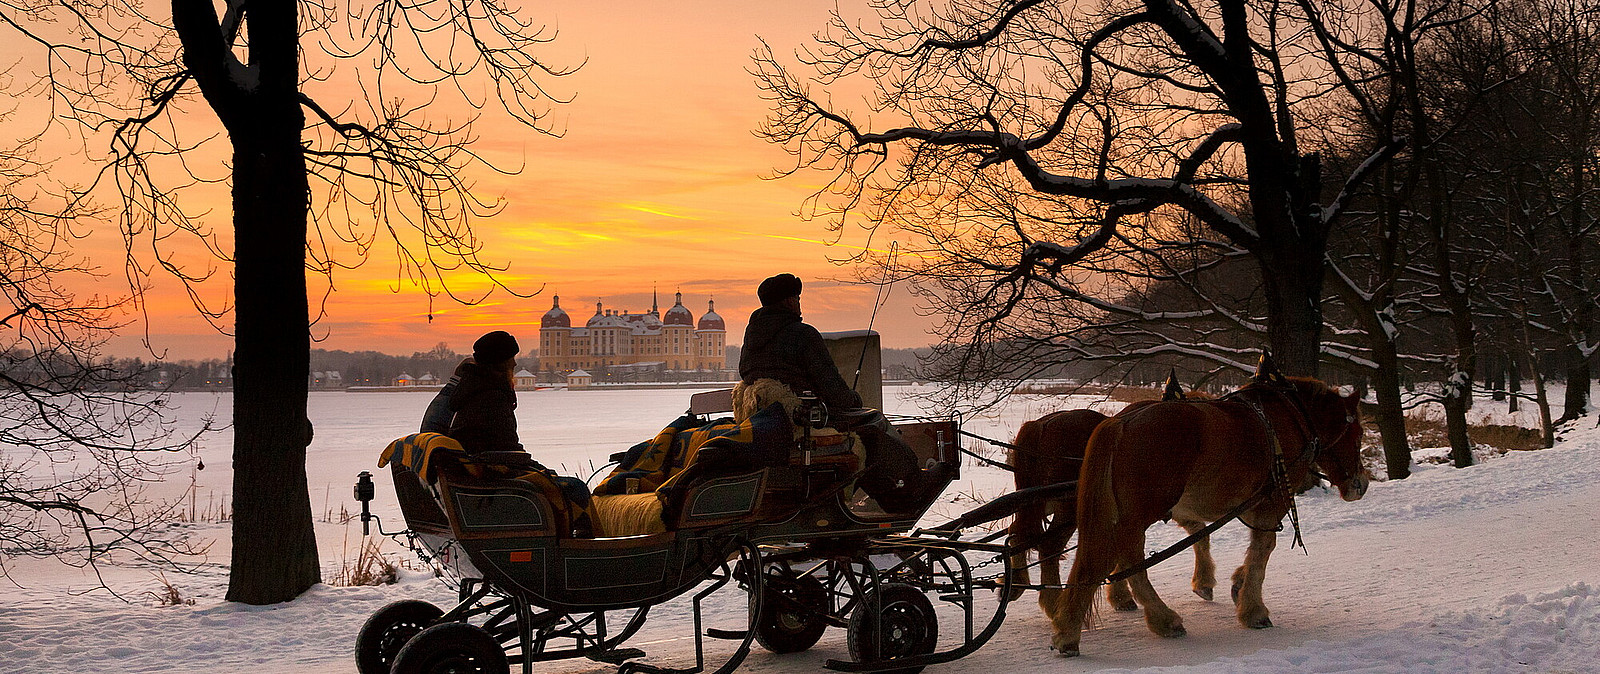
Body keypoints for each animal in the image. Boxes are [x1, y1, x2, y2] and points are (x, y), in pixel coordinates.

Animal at [1049, 369, 1376, 653]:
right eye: (1358, 434)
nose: (1361, 484)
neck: (1290, 417)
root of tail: (1121, 422)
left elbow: (1245, 548)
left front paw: (1237, 585)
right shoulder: (1273, 501)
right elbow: (1263, 550)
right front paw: (1253, 610)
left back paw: (1072, 625)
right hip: (1140, 513)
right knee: (1125, 561)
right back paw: (1159, 620)